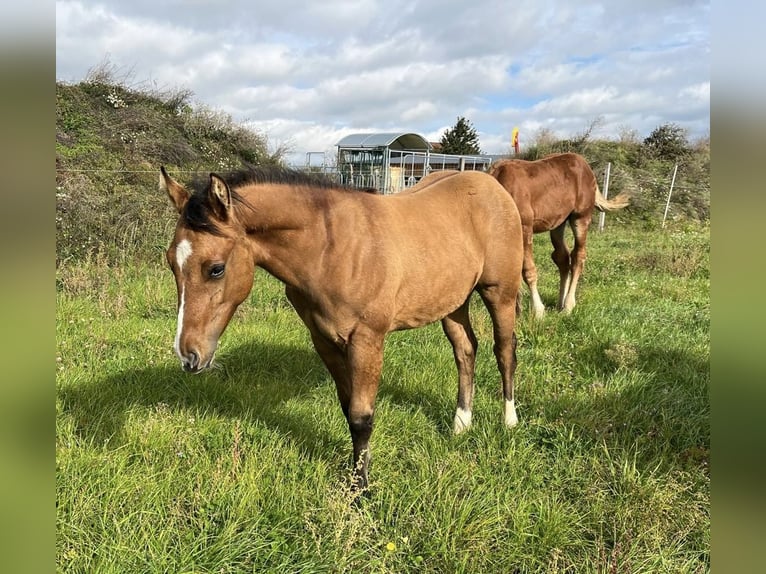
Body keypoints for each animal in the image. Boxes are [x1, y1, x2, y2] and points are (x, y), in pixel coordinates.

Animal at [159, 166, 524, 490]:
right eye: (171, 262)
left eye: (216, 269)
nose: (189, 355)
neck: (330, 249)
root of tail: (493, 185)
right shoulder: (324, 340)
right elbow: (348, 409)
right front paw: (359, 470)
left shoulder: (367, 340)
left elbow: (362, 416)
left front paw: (361, 488)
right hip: (453, 302)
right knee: (466, 350)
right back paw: (461, 423)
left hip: (500, 294)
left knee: (505, 350)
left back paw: (509, 420)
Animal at [492, 153, 632, 320]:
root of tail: (587, 168)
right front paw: (516, 311)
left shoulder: (525, 228)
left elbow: (528, 270)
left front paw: (538, 312)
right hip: (558, 223)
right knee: (562, 257)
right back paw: (560, 304)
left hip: (580, 217)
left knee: (578, 256)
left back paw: (568, 306)